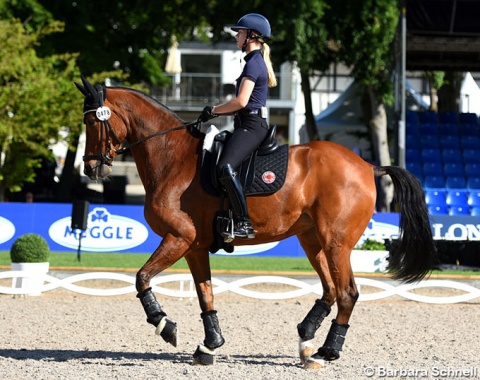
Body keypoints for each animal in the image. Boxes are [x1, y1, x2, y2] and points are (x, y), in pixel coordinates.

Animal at [76, 75, 438, 370]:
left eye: (93, 121)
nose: (91, 168)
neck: (172, 157)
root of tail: (367, 166)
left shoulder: (178, 237)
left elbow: (141, 278)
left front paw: (166, 326)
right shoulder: (194, 246)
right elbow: (205, 294)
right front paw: (210, 345)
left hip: (336, 242)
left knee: (347, 292)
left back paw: (328, 350)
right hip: (313, 240)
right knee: (331, 290)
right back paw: (307, 338)